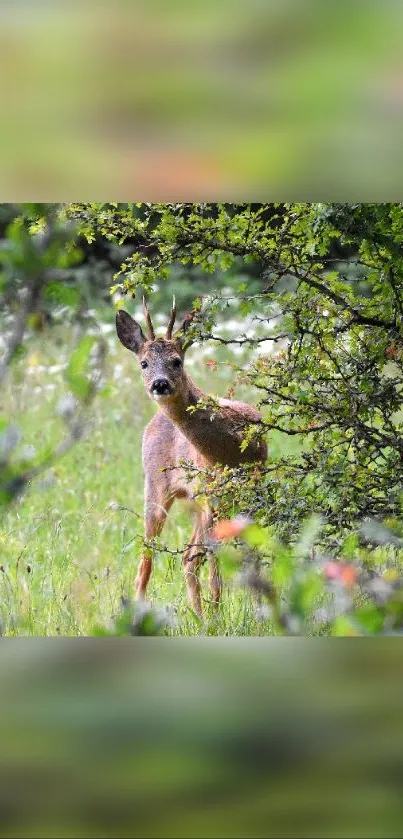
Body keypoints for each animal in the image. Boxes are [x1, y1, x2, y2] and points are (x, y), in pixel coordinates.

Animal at [116, 300, 268, 616]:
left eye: (177, 361)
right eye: (143, 363)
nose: (160, 384)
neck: (231, 448)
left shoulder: (252, 488)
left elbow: (251, 554)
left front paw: (260, 613)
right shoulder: (213, 495)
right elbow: (212, 559)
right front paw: (219, 615)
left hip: (200, 501)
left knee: (190, 556)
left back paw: (202, 615)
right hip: (157, 486)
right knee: (150, 559)